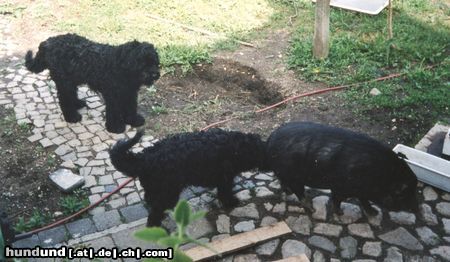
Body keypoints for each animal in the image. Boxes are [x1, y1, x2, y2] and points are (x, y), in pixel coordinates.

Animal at [25, 33, 160, 133]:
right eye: (143, 63)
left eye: (154, 62)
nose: (155, 75)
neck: (121, 65)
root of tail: (47, 43)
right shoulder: (113, 96)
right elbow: (114, 112)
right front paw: (115, 127)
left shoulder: (130, 93)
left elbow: (131, 107)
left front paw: (133, 120)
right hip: (65, 82)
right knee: (64, 100)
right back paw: (72, 117)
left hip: (71, 80)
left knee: (71, 95)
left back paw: (77, 103)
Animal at [109, 128, 266, 226]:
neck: (236, 147)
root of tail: (144, 157)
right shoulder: (225, 178)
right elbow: (225, 193)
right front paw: (232, 202)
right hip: (168, 192)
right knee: (155, 212)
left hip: (157, 188)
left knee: (151, 200)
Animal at [264, 122, 418, 216]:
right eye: (404, 194)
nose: (415, 208)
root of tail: (269, 140)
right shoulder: (341, 187)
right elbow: (337, 199)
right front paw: (341, 213)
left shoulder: (361, 191)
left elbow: (364, 201)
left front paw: (374, 213)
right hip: (294, 176)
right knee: (299, 192)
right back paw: (312, 209)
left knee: (284, 183)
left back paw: (288, 192)